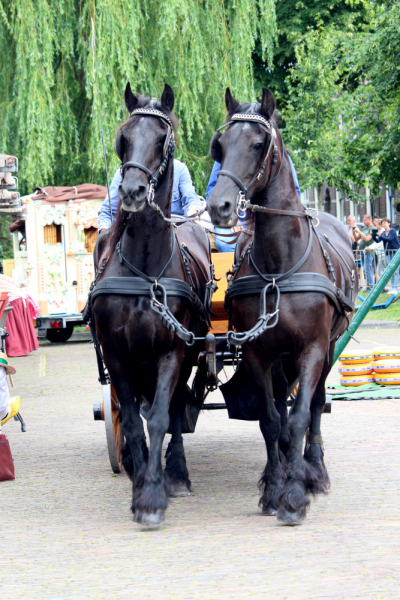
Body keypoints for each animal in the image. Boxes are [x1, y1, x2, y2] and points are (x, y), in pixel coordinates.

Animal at [90, 84, 214, 524]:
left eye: (163, 140)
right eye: (123, 138)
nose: (130, 192)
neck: (144, 271)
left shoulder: (172, 351)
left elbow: (161, 416)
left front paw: (153, 494)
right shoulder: (117, 355)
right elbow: (129, 420)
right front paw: (139, 476)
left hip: (190, 352)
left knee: (175, 409)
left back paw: (176, 472)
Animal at [206, 86, 356, 524]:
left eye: (259, 144)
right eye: (220, 146)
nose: (220, 206)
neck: (280, 264)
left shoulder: (312, 350)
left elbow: (303, 414)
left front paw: (295, 493)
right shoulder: (258, 353)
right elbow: (271, 420)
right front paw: (274, 487)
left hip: (328, 349)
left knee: (316, 403)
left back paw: (313, 469)